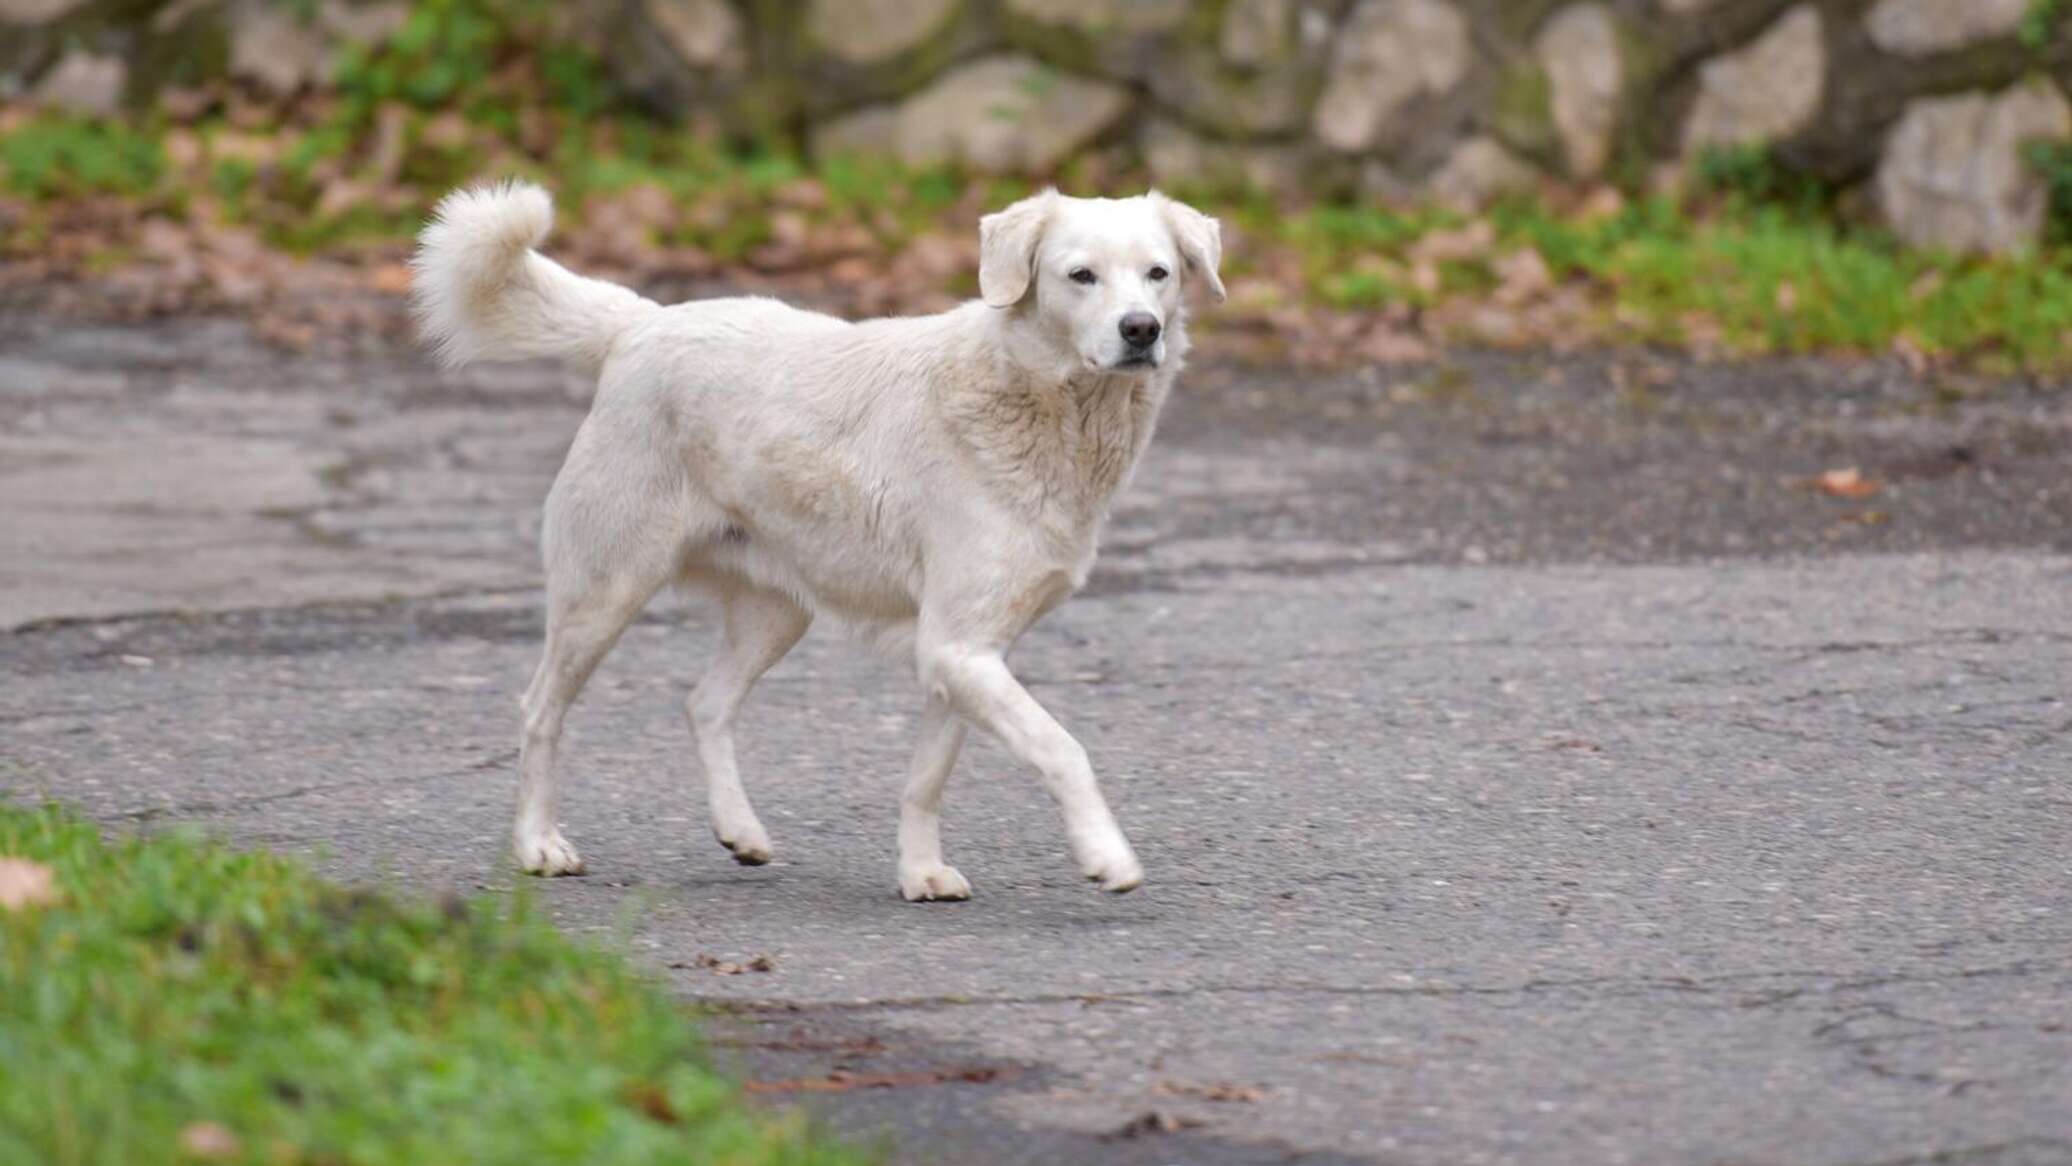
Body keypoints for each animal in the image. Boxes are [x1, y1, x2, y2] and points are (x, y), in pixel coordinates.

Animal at [408, 180, 1210, 902]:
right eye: (1081, 276)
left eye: (1158, 273)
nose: (1142, 329)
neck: (1046, 406)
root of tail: (641, 325)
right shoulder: (958, 650)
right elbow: (1063, 749)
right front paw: (1106, 856)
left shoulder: (965, 654)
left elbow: (928, 778)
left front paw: (920, 874)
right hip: (602, 596)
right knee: (540, 711)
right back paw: (539, 845)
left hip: (776, 613)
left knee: (704, 703)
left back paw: (740, 832)